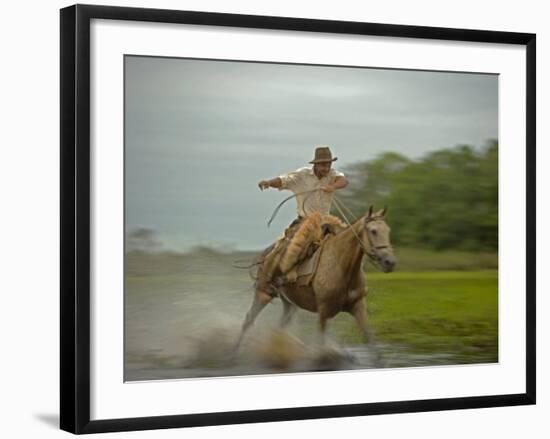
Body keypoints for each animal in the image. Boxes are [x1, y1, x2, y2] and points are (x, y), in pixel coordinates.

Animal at [236, 206, 396, 350]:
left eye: (388, 230)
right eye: (373, 231)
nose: (390, 262)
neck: (341, 266)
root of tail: (267, 253)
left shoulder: (358, 306)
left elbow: (370, 340)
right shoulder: (324, 312)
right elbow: (320, 344)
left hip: (289, 303)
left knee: (279, 327)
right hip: (263, 293)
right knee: (248, 320)